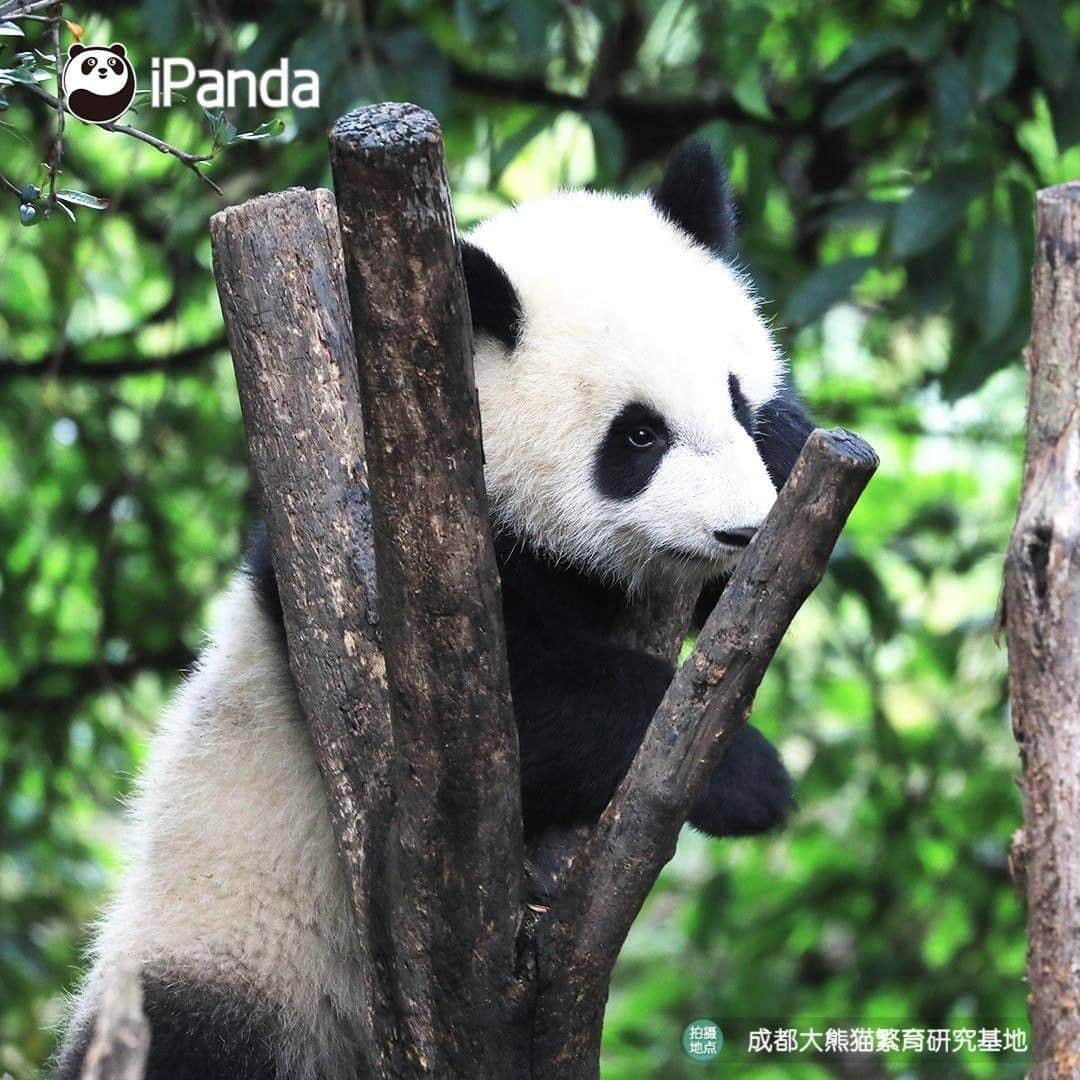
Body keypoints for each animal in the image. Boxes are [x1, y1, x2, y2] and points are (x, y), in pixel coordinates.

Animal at [50, 141, 812, 1080]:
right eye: (638, 436)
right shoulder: (389, 562)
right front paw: (749, 778)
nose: (744, 528)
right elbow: (504, 712)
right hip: (231, 944)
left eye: (736, 396)